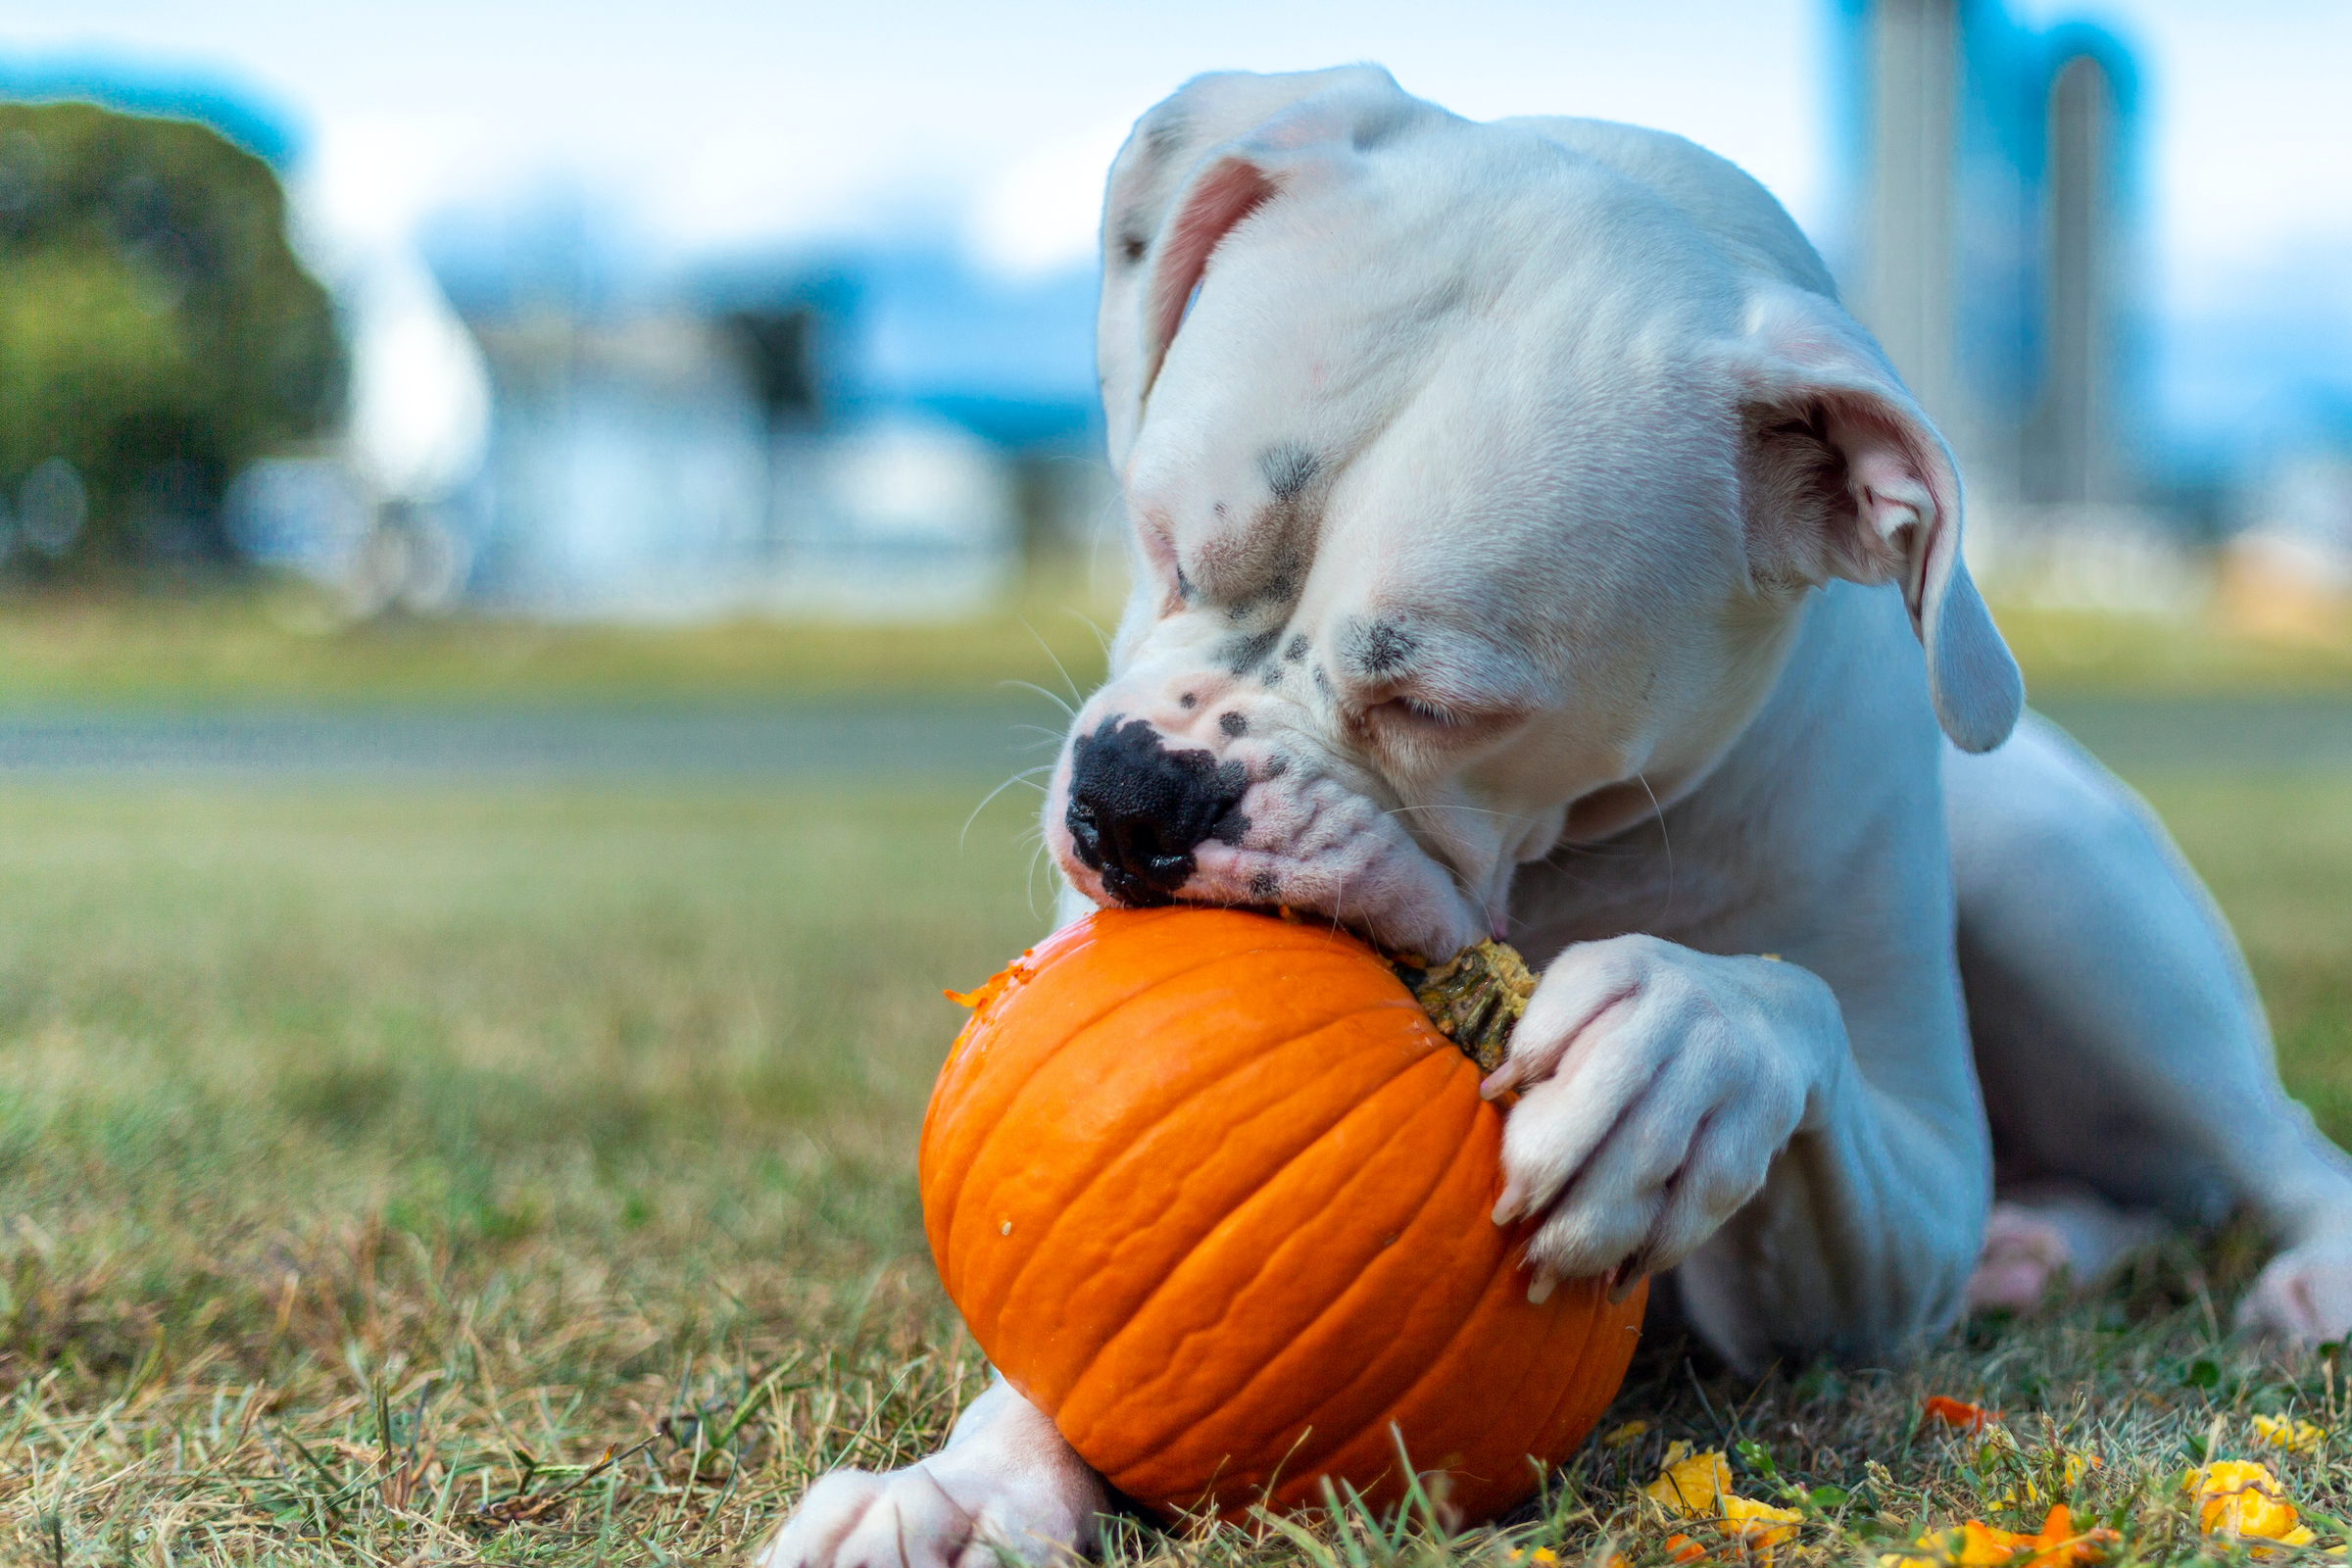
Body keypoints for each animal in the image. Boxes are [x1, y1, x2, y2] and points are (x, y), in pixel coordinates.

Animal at [761, 64, 2352, 1568]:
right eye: (1159, 544)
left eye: (1439, 704)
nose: (1137, 798)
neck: (1579, 851)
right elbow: (1056, 1352)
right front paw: (964, 1486)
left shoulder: (1905, 1215)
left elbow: (1794, 1015)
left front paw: (1681, 1051)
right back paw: (2042, 1251)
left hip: (2065, 908)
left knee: (2272, 1149)